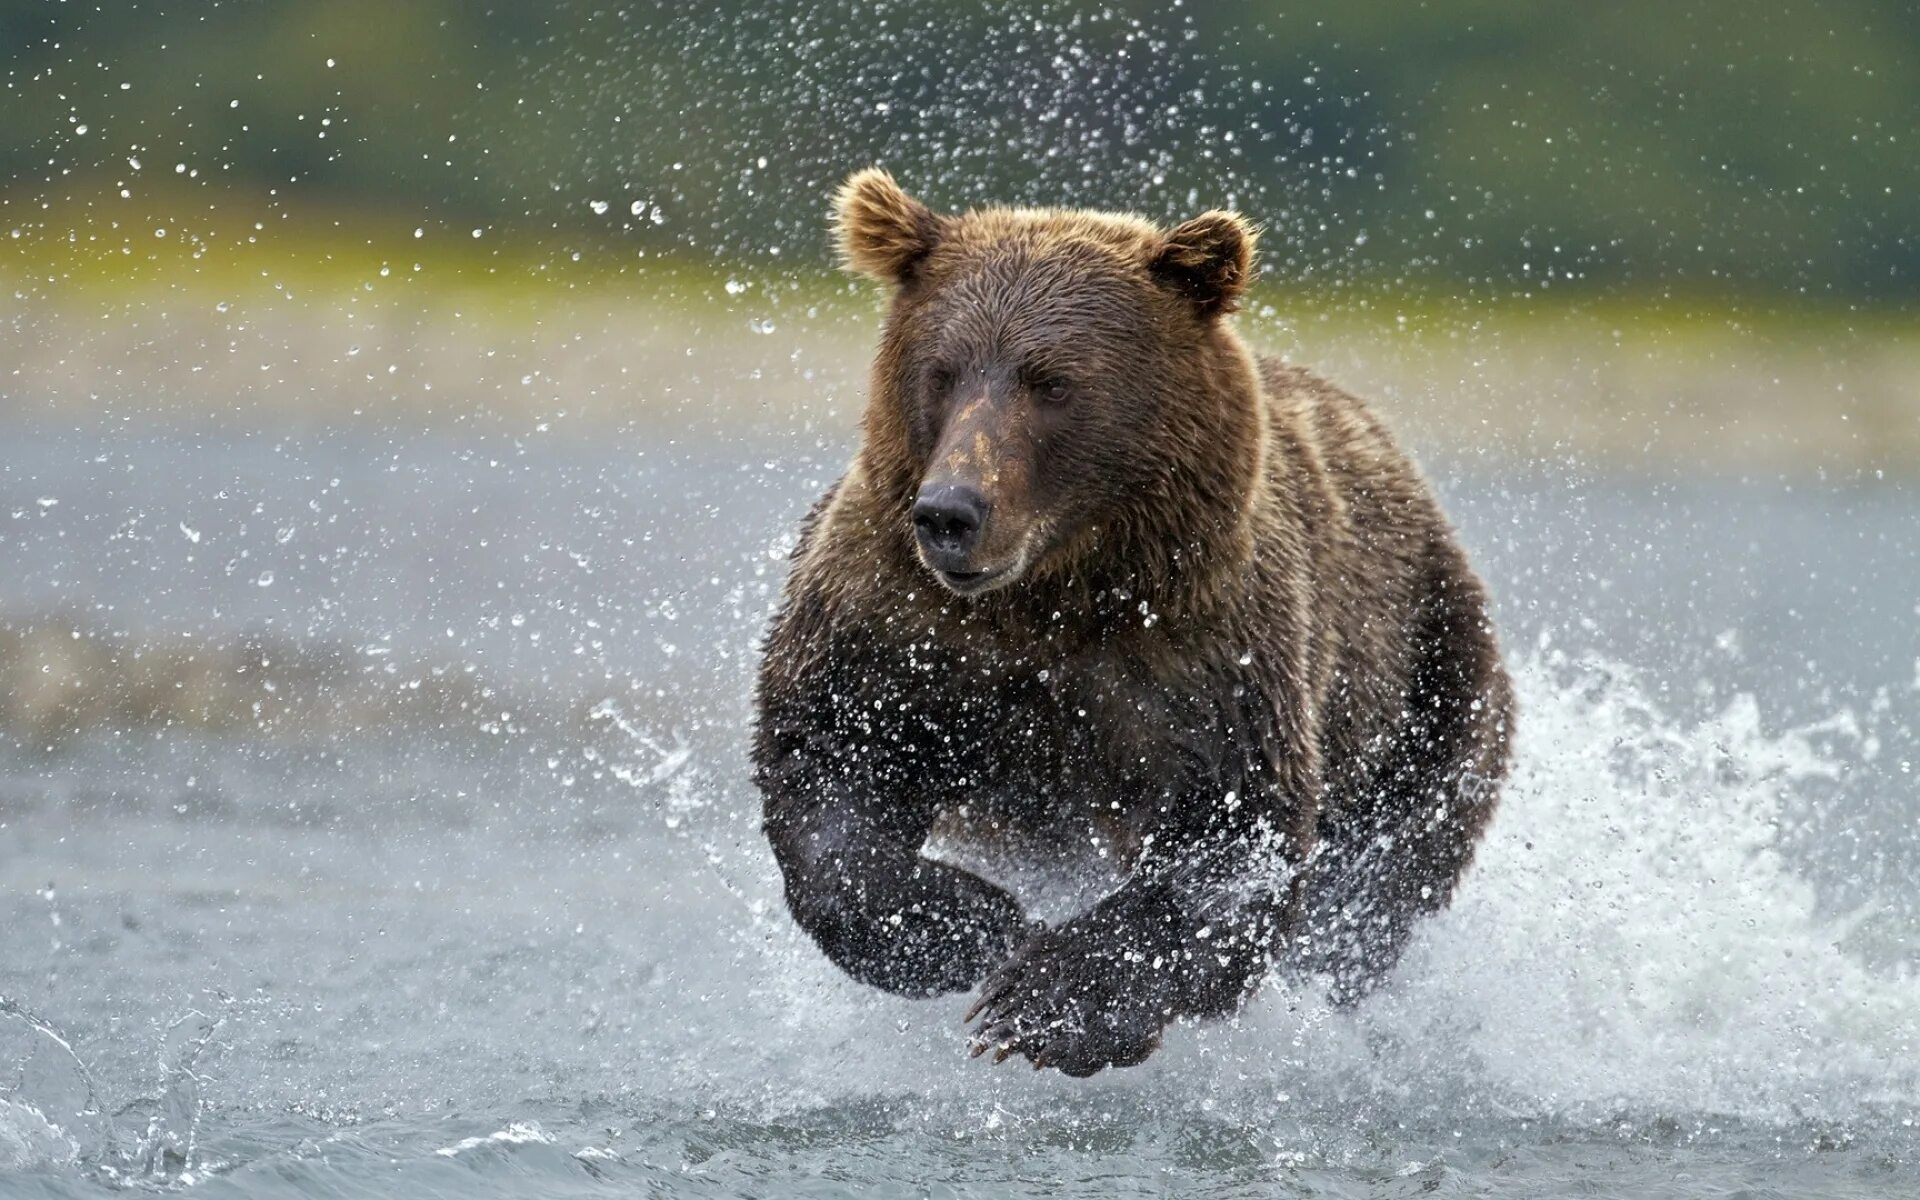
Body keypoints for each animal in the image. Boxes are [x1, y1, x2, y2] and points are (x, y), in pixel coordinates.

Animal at [748, 168, 1512, 1075]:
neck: (1057, 591)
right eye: (942, 371)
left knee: (1377, 882)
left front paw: (1046, 1006)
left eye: (1050, 381)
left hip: (1429, 678)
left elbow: (1230, 838)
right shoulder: (896, 623)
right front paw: (966, 926)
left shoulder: (1209, 656)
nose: (950, 512)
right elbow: (829, 758)